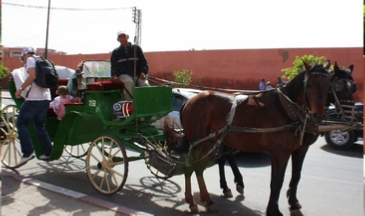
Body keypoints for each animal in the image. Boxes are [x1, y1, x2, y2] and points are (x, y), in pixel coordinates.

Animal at [165, 61, 332, 216]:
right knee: (190, 167)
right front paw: (274, 210)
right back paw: (193, 201)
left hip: (209, 142)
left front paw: (291, 204)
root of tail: (189, 101)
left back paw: (207, 200)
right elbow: (277, 182)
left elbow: (294, 176)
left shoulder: (297, 149)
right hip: (198, 143)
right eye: (309, 84)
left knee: (199, 167)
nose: (319, 115)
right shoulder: (280, 152)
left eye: (328, 85)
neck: (285, 109)